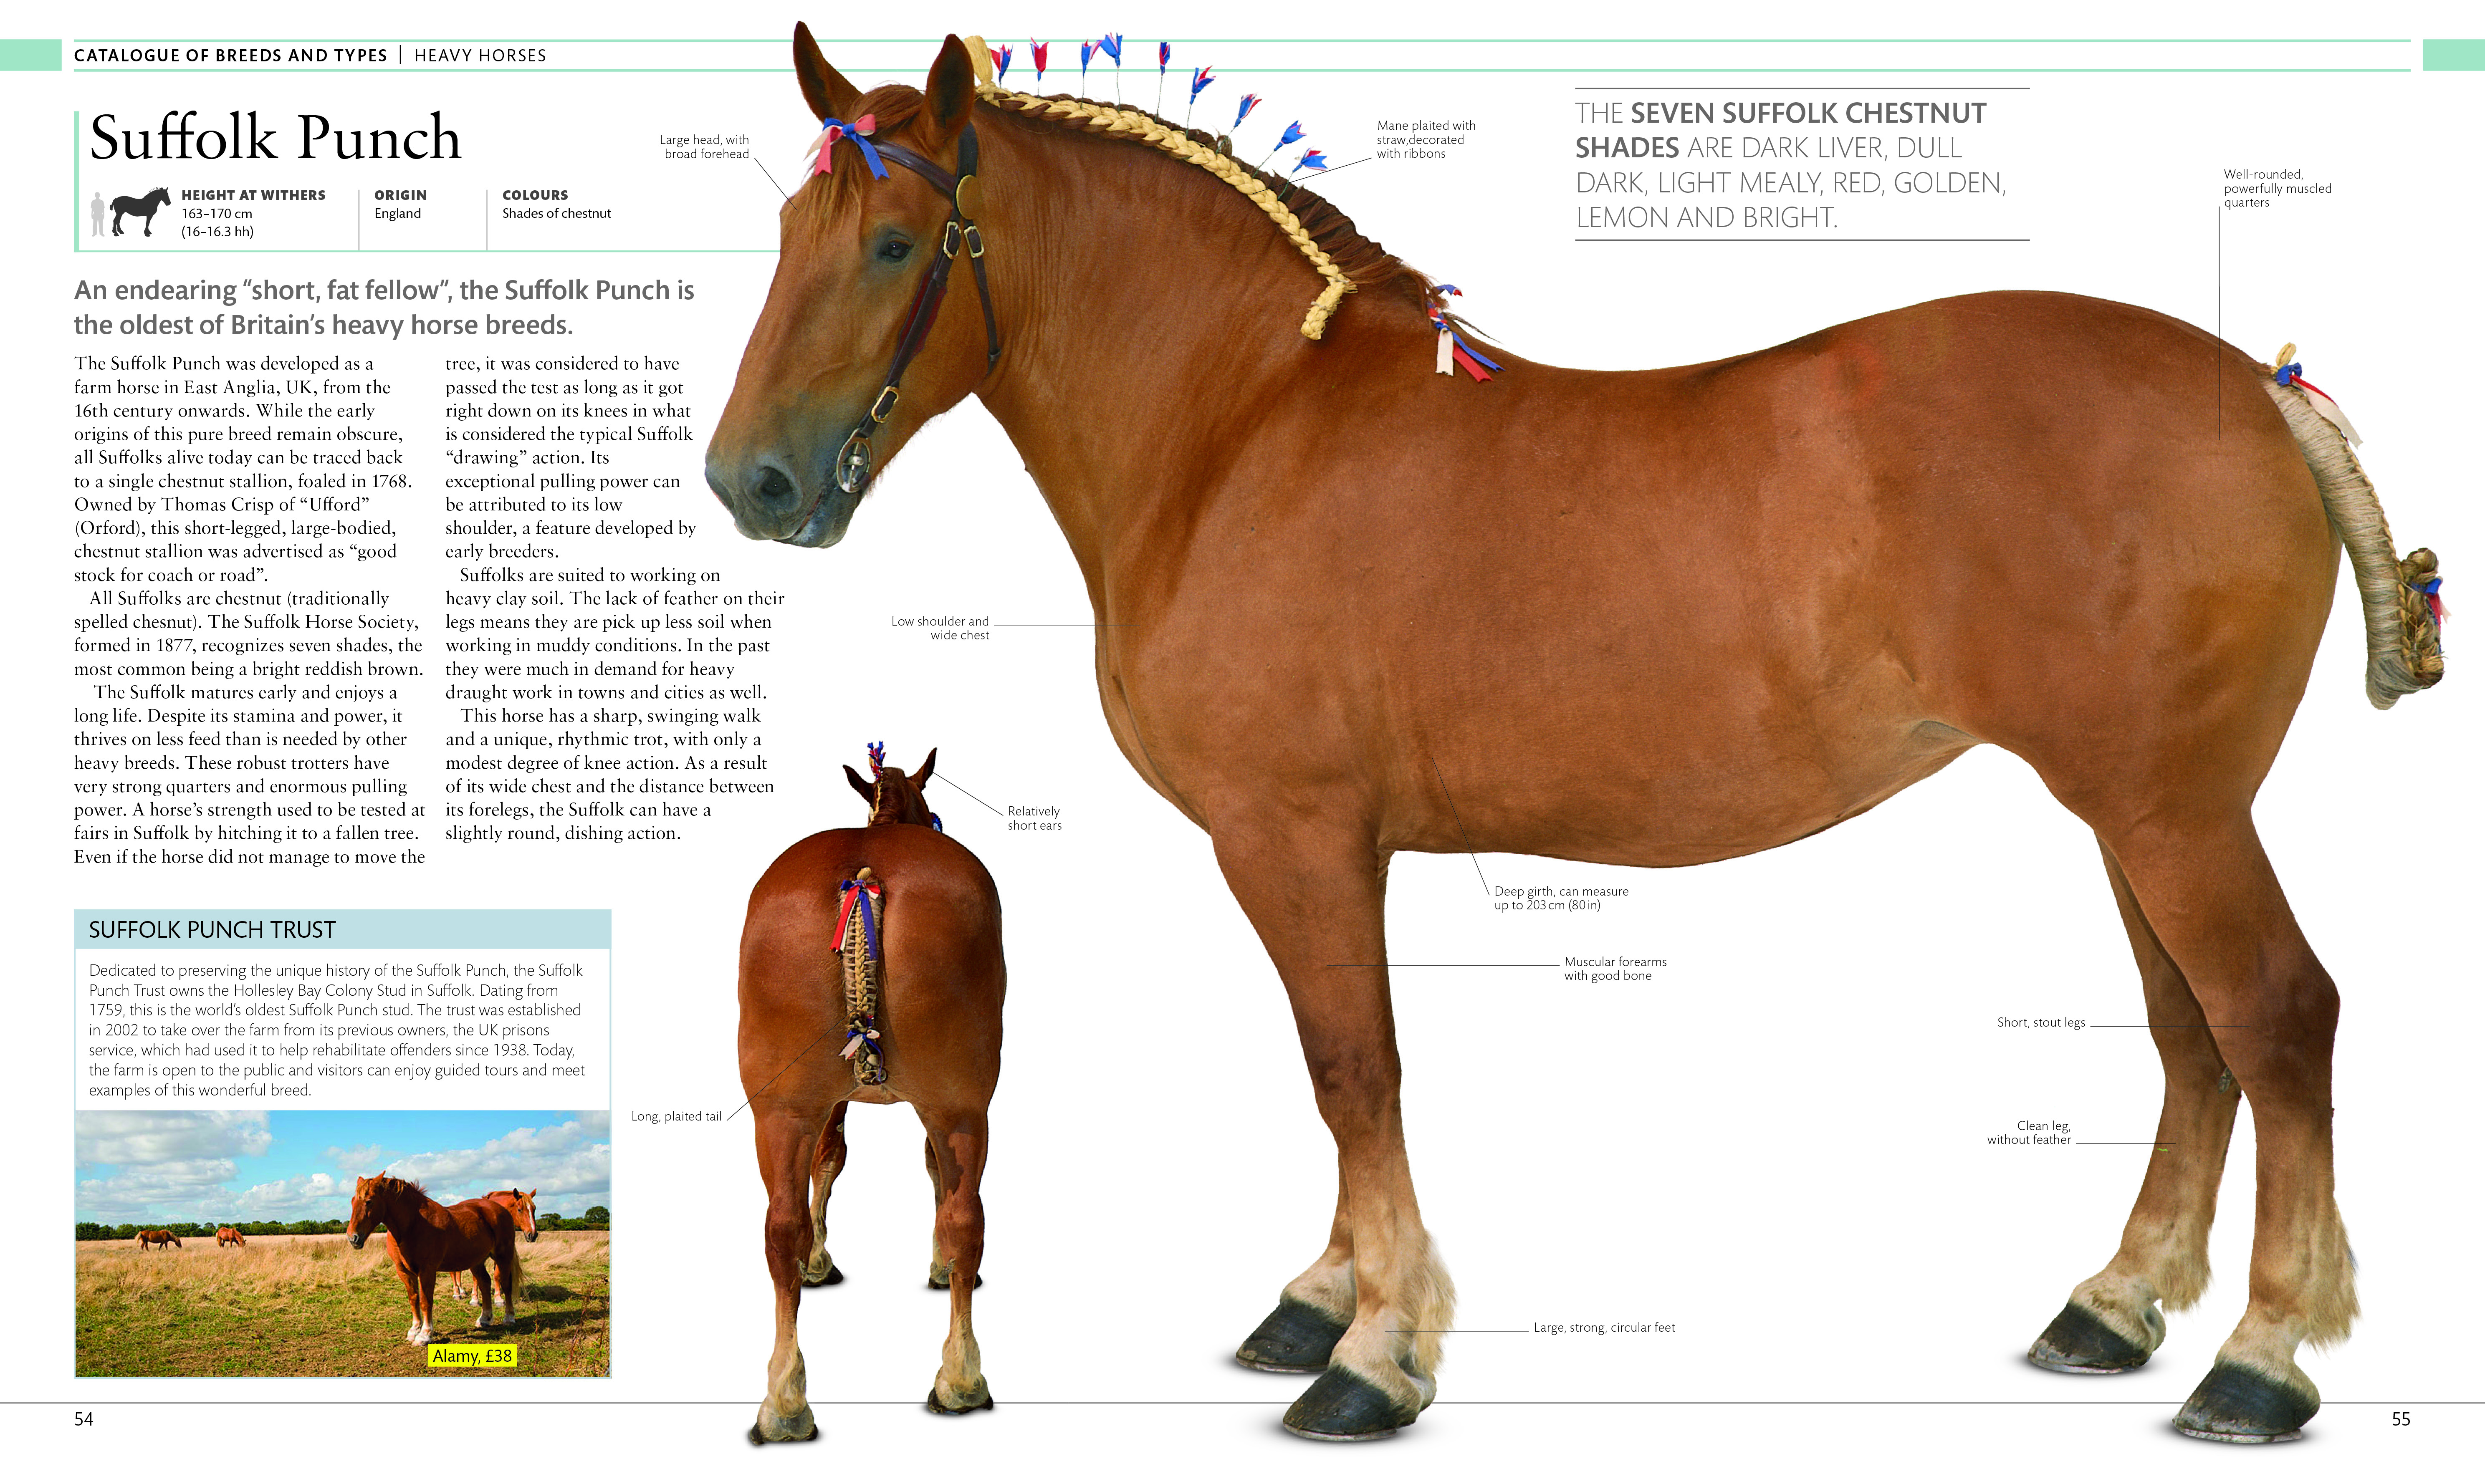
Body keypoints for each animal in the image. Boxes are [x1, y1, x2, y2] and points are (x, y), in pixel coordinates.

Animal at [110, 188, 170, 237]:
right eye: (164, 195)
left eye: (168, 194)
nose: (169, 203)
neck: (151, 202)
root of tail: (115, 200)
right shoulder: (149, 215)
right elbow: (147, 223)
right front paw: (147, 233)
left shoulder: (150, 216)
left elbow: (148, 223)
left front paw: (148, 232)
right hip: (119, 213)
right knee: (115, 221)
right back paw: (116, 234)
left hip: (120, 214)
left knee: (118, 221)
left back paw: (120, 231)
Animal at [347, 1174, 522, 1345]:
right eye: (352, 1201)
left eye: (369, 1201)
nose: (352, 1238)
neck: (413, 1225)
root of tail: (500, 1210)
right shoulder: (404, 1271)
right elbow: (414, 1299)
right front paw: (414, 1330)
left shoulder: (427, 1271)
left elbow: (426, 1302)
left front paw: (425, 1335)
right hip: (477, 1262)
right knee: (485, 1284)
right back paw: (485, 1319)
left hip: (503, 1257)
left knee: (506, 1284)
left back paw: (509, 1317)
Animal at [736, 744, 1005, 1441]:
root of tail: (864, 878)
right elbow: (917, 1171)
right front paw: (938, 1266)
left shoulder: (826, 1102)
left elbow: (828, 1166)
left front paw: (818, 1260)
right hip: (963, 1107)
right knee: (966, 1217)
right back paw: (961, 1379)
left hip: (780, 1111)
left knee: (779, 1226)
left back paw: (784, 1402)